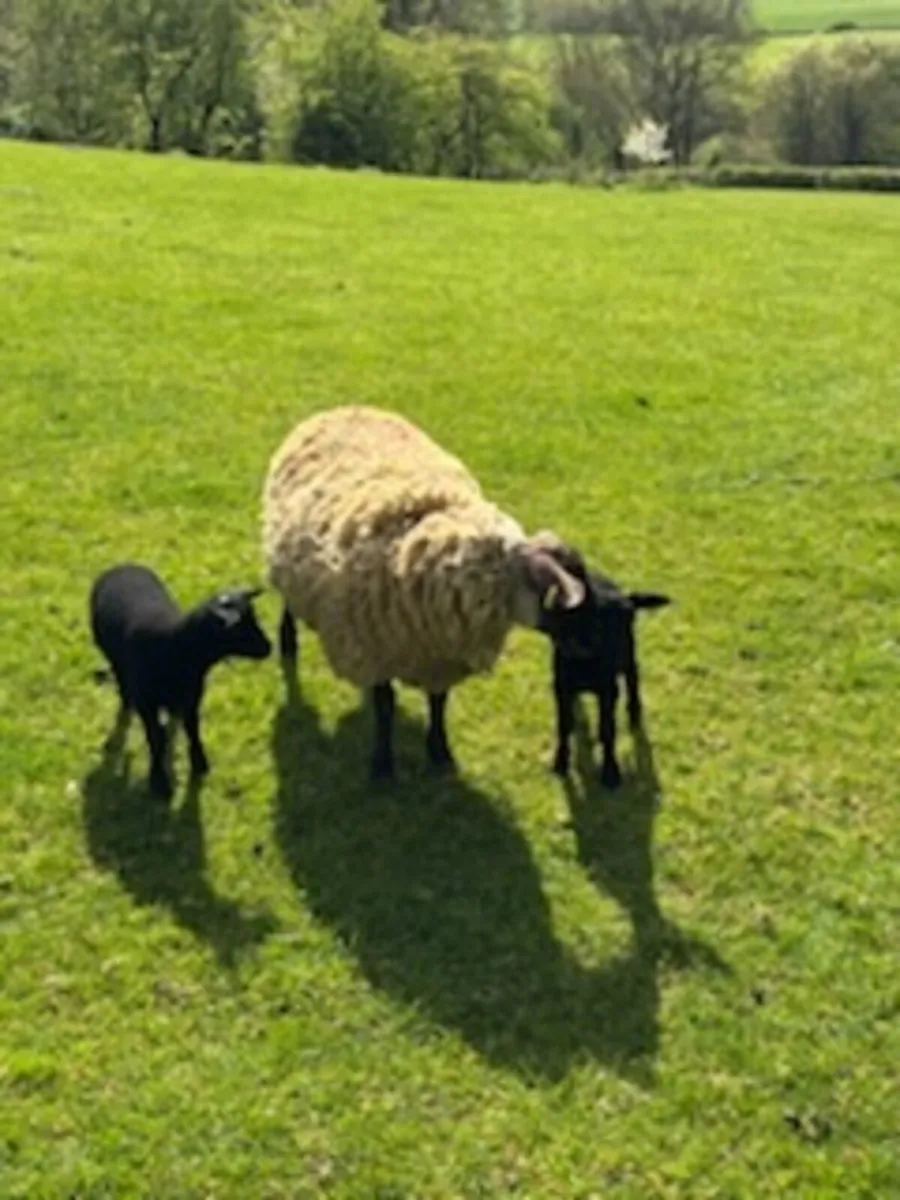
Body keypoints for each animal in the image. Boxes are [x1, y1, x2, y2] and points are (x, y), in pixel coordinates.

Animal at [89, 563, 272, 798]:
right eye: (239, 629)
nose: (269, 647)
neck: (178, 647)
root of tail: (122, 565)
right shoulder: (147, 704)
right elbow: (155, 739)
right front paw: (159, 781)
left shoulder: (191, 696)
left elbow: (192, 729)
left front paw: (199, 762)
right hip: (113, 657)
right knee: (122, 683)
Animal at [262, 404, 594, 780]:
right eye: (563, 589)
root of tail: (343, 408)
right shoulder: (376, 650)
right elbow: (385, 705)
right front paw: (382, 765)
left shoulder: (440, 656)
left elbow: (438, 702)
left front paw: (440, 751)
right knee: (288, 604)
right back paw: (287, 641)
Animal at [541, 556, 671, 788]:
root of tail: (627, 596)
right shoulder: (562, 686)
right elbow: (564, 725)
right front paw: (561, 761)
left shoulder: (608, 689)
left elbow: (607, 729)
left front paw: (610, 771)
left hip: (627, 652)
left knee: (633, 676)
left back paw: (634, 711)